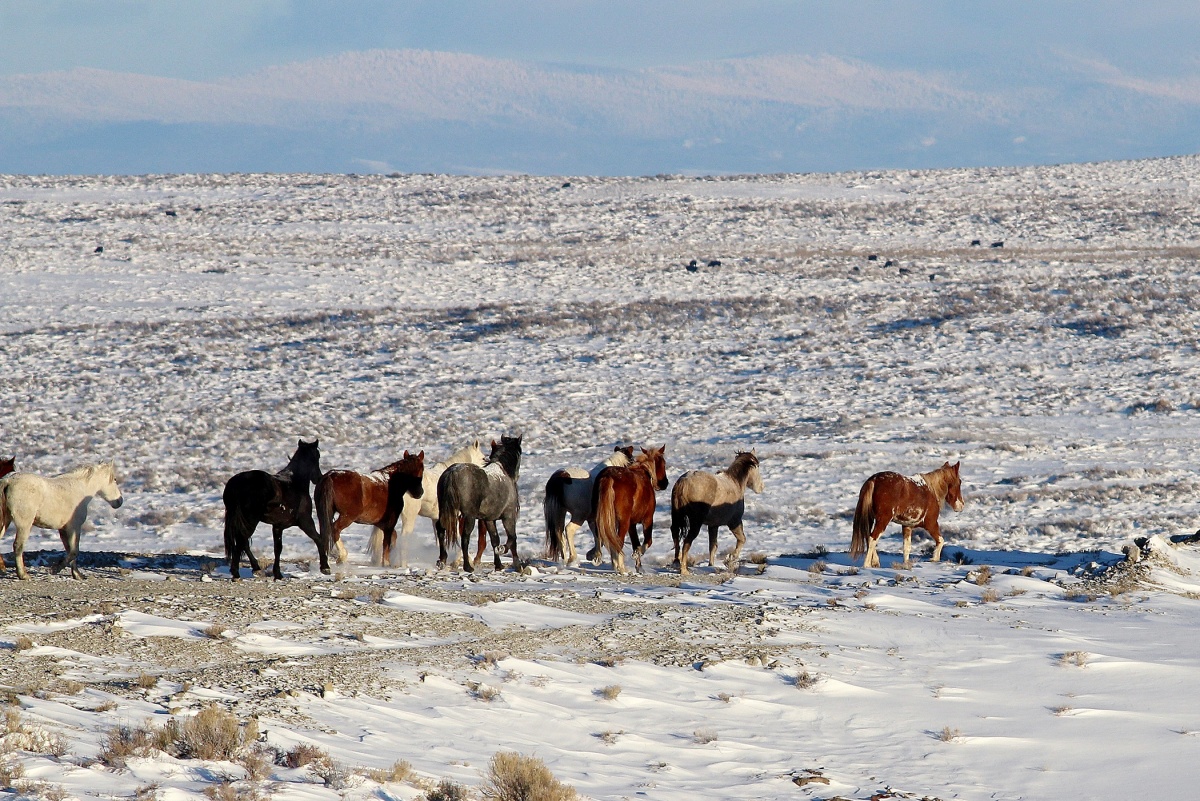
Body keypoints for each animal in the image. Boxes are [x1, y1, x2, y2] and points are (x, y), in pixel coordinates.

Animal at [222, 439, 327, 580]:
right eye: (317, 456)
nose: (318, 478)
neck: (295, 482)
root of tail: (236, 484)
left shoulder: (278, 526)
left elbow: (278, 548)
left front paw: (277, 574)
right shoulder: (306, 521)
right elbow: (318, 539)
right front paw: (325, 567)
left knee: (243, 541)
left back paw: (255, 568)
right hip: (250, 520)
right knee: (241, 541)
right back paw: (237, 573)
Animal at [436, 435, 522, 573]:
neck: (502, 472)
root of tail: (453, 473)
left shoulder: (489, 519)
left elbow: (495, 539)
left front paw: (498, 565)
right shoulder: (508, 516)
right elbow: (512, 538)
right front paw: (508, 555)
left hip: (446, 511)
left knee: (441, 529)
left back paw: (442, 560)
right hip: (469, 516)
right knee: (465, 537)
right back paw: (468, 566)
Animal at [590, 446, 668, 574]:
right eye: (664, 463)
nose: (665, 483)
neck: (645, 472)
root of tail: (608, 477)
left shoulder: (632, 524)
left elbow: (635, 543)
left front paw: (639, 566)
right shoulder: (647, 519)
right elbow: (647, 541)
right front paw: (637, 554)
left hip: (601, 519)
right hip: (623, 522)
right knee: (618, 543)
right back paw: (621, 568)